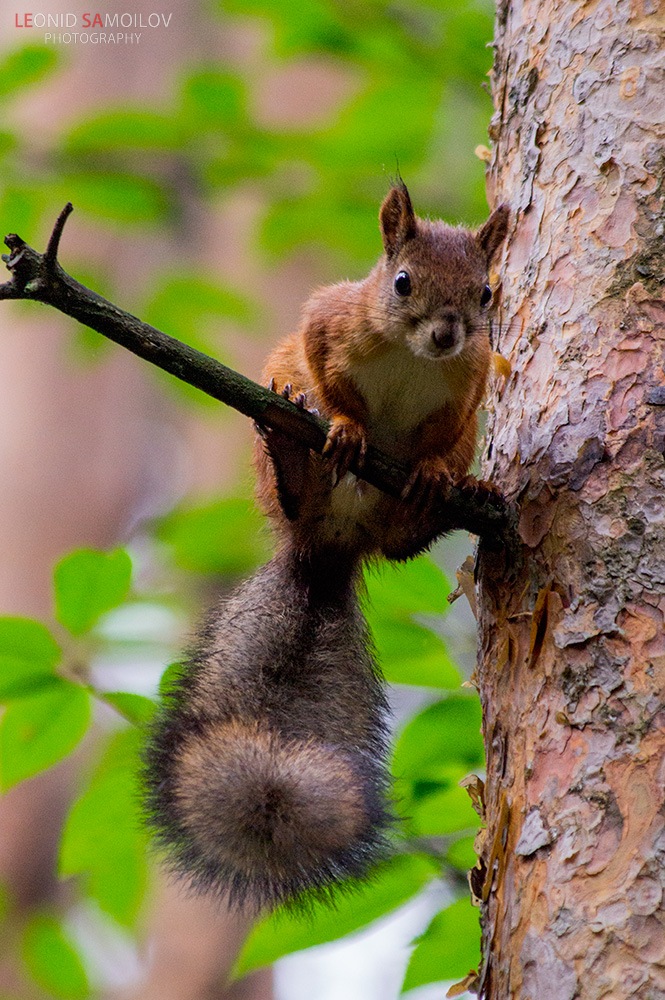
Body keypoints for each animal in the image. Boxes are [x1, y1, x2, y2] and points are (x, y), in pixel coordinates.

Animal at [143, 182, 508, 916]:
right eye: (402, 282)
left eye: (485, 293)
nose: (446, 333)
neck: (412, 356)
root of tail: (328, 548)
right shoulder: (327, 321)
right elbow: (327, 373)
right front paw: (345, 427)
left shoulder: (469, 386)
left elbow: (445, 428)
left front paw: (429, 468)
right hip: (278, 451)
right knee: (295, 487)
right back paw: (294, 454)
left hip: (422, 491)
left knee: (400, 542)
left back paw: (443, 498)